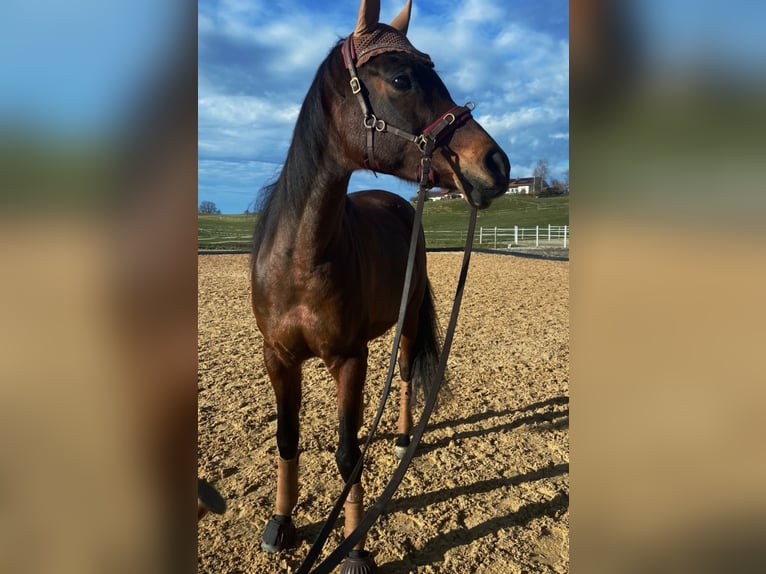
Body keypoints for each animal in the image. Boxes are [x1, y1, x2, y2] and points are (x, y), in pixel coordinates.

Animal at [250, 1, 510, 571]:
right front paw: (280, 524)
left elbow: (349, 456)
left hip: (408, 320)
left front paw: (354, 549)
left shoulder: (350, 360)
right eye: (401, 78)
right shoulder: (278, 357)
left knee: (408, 374)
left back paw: (403, 437)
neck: (299, 260)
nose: (496, 164)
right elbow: (287, 439)